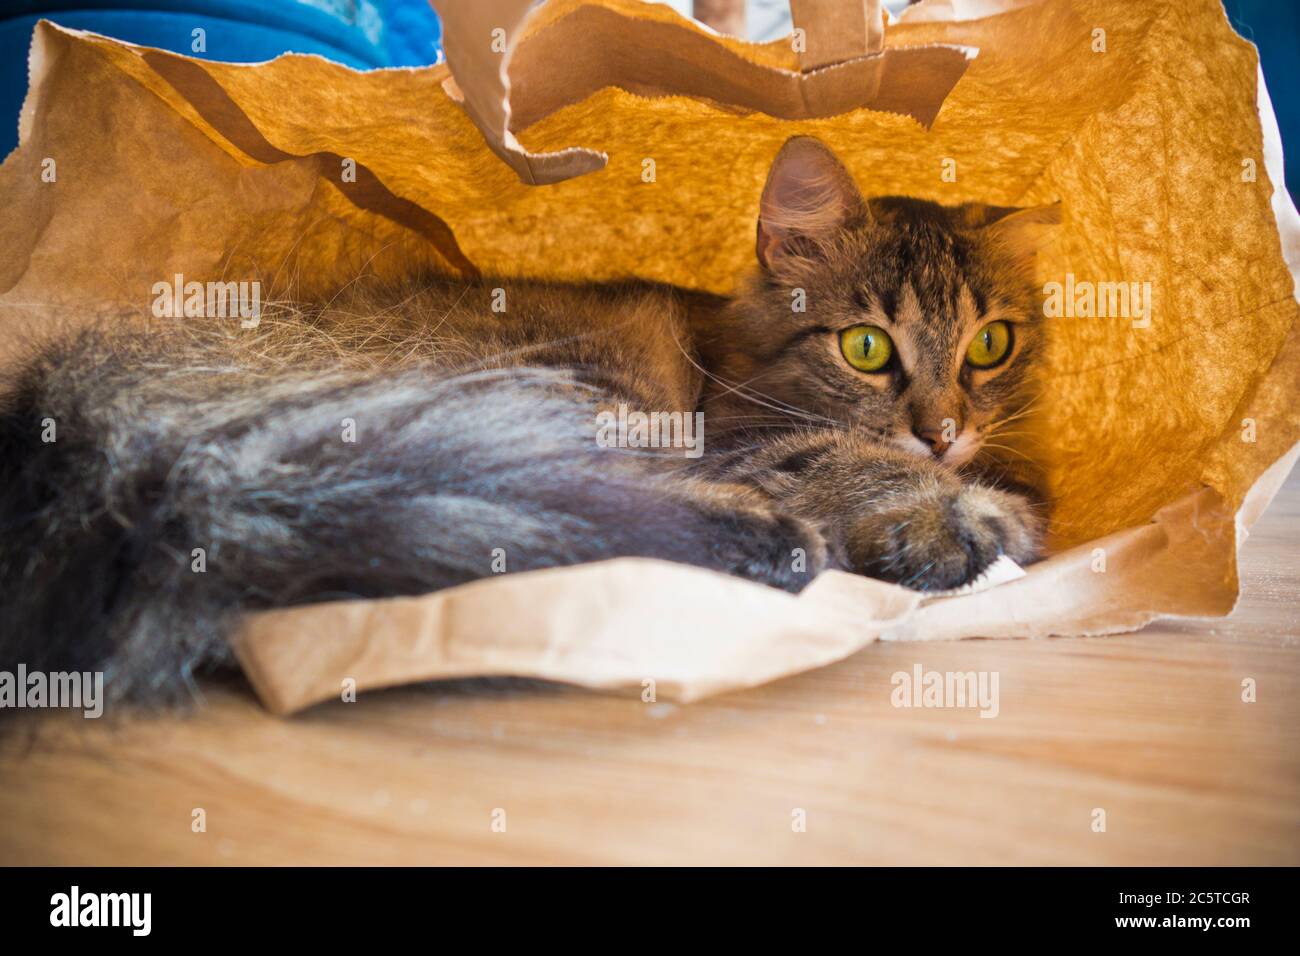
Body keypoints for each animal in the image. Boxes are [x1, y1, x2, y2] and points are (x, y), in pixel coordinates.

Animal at [0, 132, 1055, 702]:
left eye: (990, 347)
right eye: (867, 348)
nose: (943, 430)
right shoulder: (749, 437)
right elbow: (851, 459)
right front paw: (965, 520)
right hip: (566, 401)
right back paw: (776, 547)